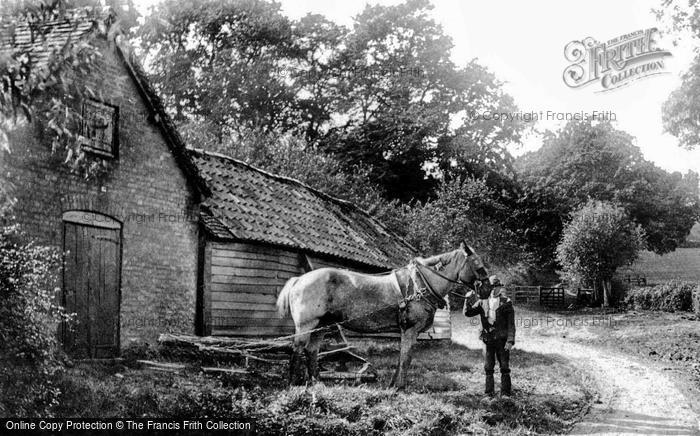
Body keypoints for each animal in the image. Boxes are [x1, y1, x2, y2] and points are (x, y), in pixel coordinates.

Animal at [276, 242, 490, 388]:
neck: (420, 284)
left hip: (322, 326)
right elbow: (406, 357)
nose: (487, 289)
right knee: (297, 349)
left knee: (311, 351)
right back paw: (294, 384)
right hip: (306, 325)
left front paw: (394, 383)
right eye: (478, 266)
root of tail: (299, 279)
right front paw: (400, 386)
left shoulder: (406, 331)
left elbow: (403, 356)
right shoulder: (410, 329)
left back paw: (317, 382)